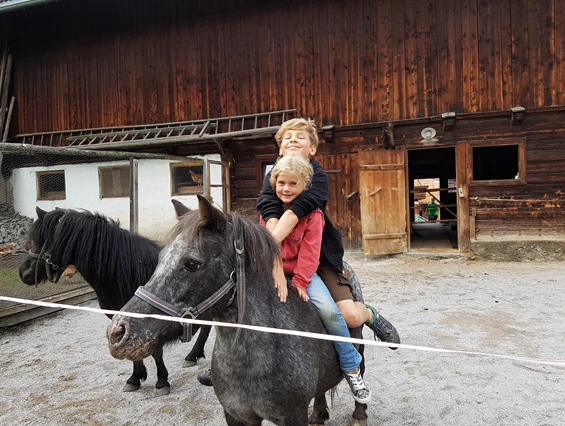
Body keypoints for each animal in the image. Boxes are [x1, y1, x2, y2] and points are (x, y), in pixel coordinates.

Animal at [19, 205, 212, 394]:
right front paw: (135, 378)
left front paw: (161, 381)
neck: (128, 272)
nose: (23, 273)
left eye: (41, 239)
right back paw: (193, 355)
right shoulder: (123, 322)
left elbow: (155, 351)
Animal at [107, 197, 368, 426]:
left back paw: (359, 413)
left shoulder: (293, 415)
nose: (117, 332)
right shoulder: (236, 415)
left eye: (192, 264)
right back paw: (318, 415)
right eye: (160, 258)